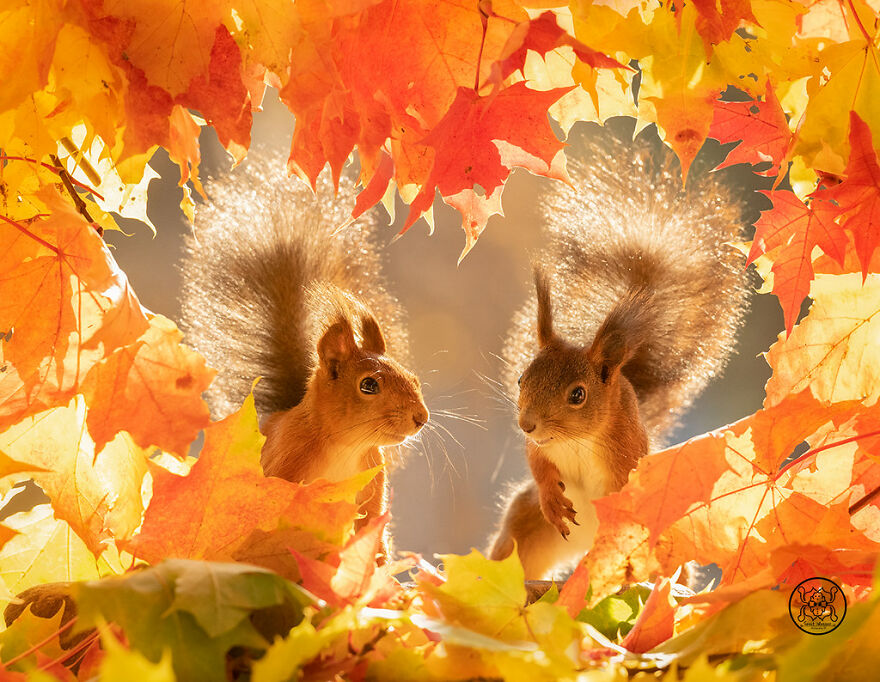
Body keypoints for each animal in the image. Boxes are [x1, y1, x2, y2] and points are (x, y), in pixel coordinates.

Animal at [178, 153, 429, 559]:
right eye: (368, 385)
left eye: (413, 379)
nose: (421, 418)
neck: (345, 447)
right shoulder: (285, 469)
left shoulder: (373, 483)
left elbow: (372, 526)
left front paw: (378, 559)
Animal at [488, 127, 750, 580]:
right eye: (522, 378)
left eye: (578, 394)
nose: (527, 424)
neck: (577, 440)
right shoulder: (541, 450)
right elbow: (537, 463)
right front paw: (550, 493)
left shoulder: (626, 455)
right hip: (526, 523)